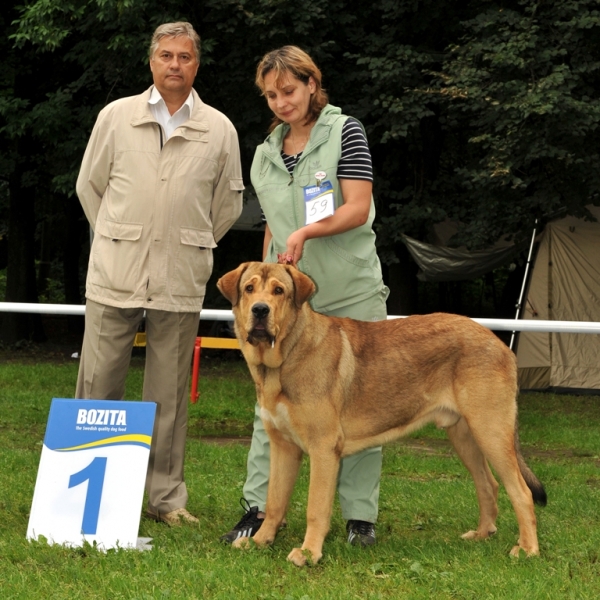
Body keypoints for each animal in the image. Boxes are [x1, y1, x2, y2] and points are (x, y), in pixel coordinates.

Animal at [218, 260, 548, 564]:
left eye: (279, 291)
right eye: (249, 289)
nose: (260, 310)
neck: (287, 355)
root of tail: (501, 345)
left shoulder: (323, 449)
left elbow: (316, 507)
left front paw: (309, 552)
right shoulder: (283, 446)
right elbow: (274, 500)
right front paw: (260, 541)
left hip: (491, 430)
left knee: (521, 491)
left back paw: (527, 549)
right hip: (465, 434)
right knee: (488, 485)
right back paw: (481, 534)